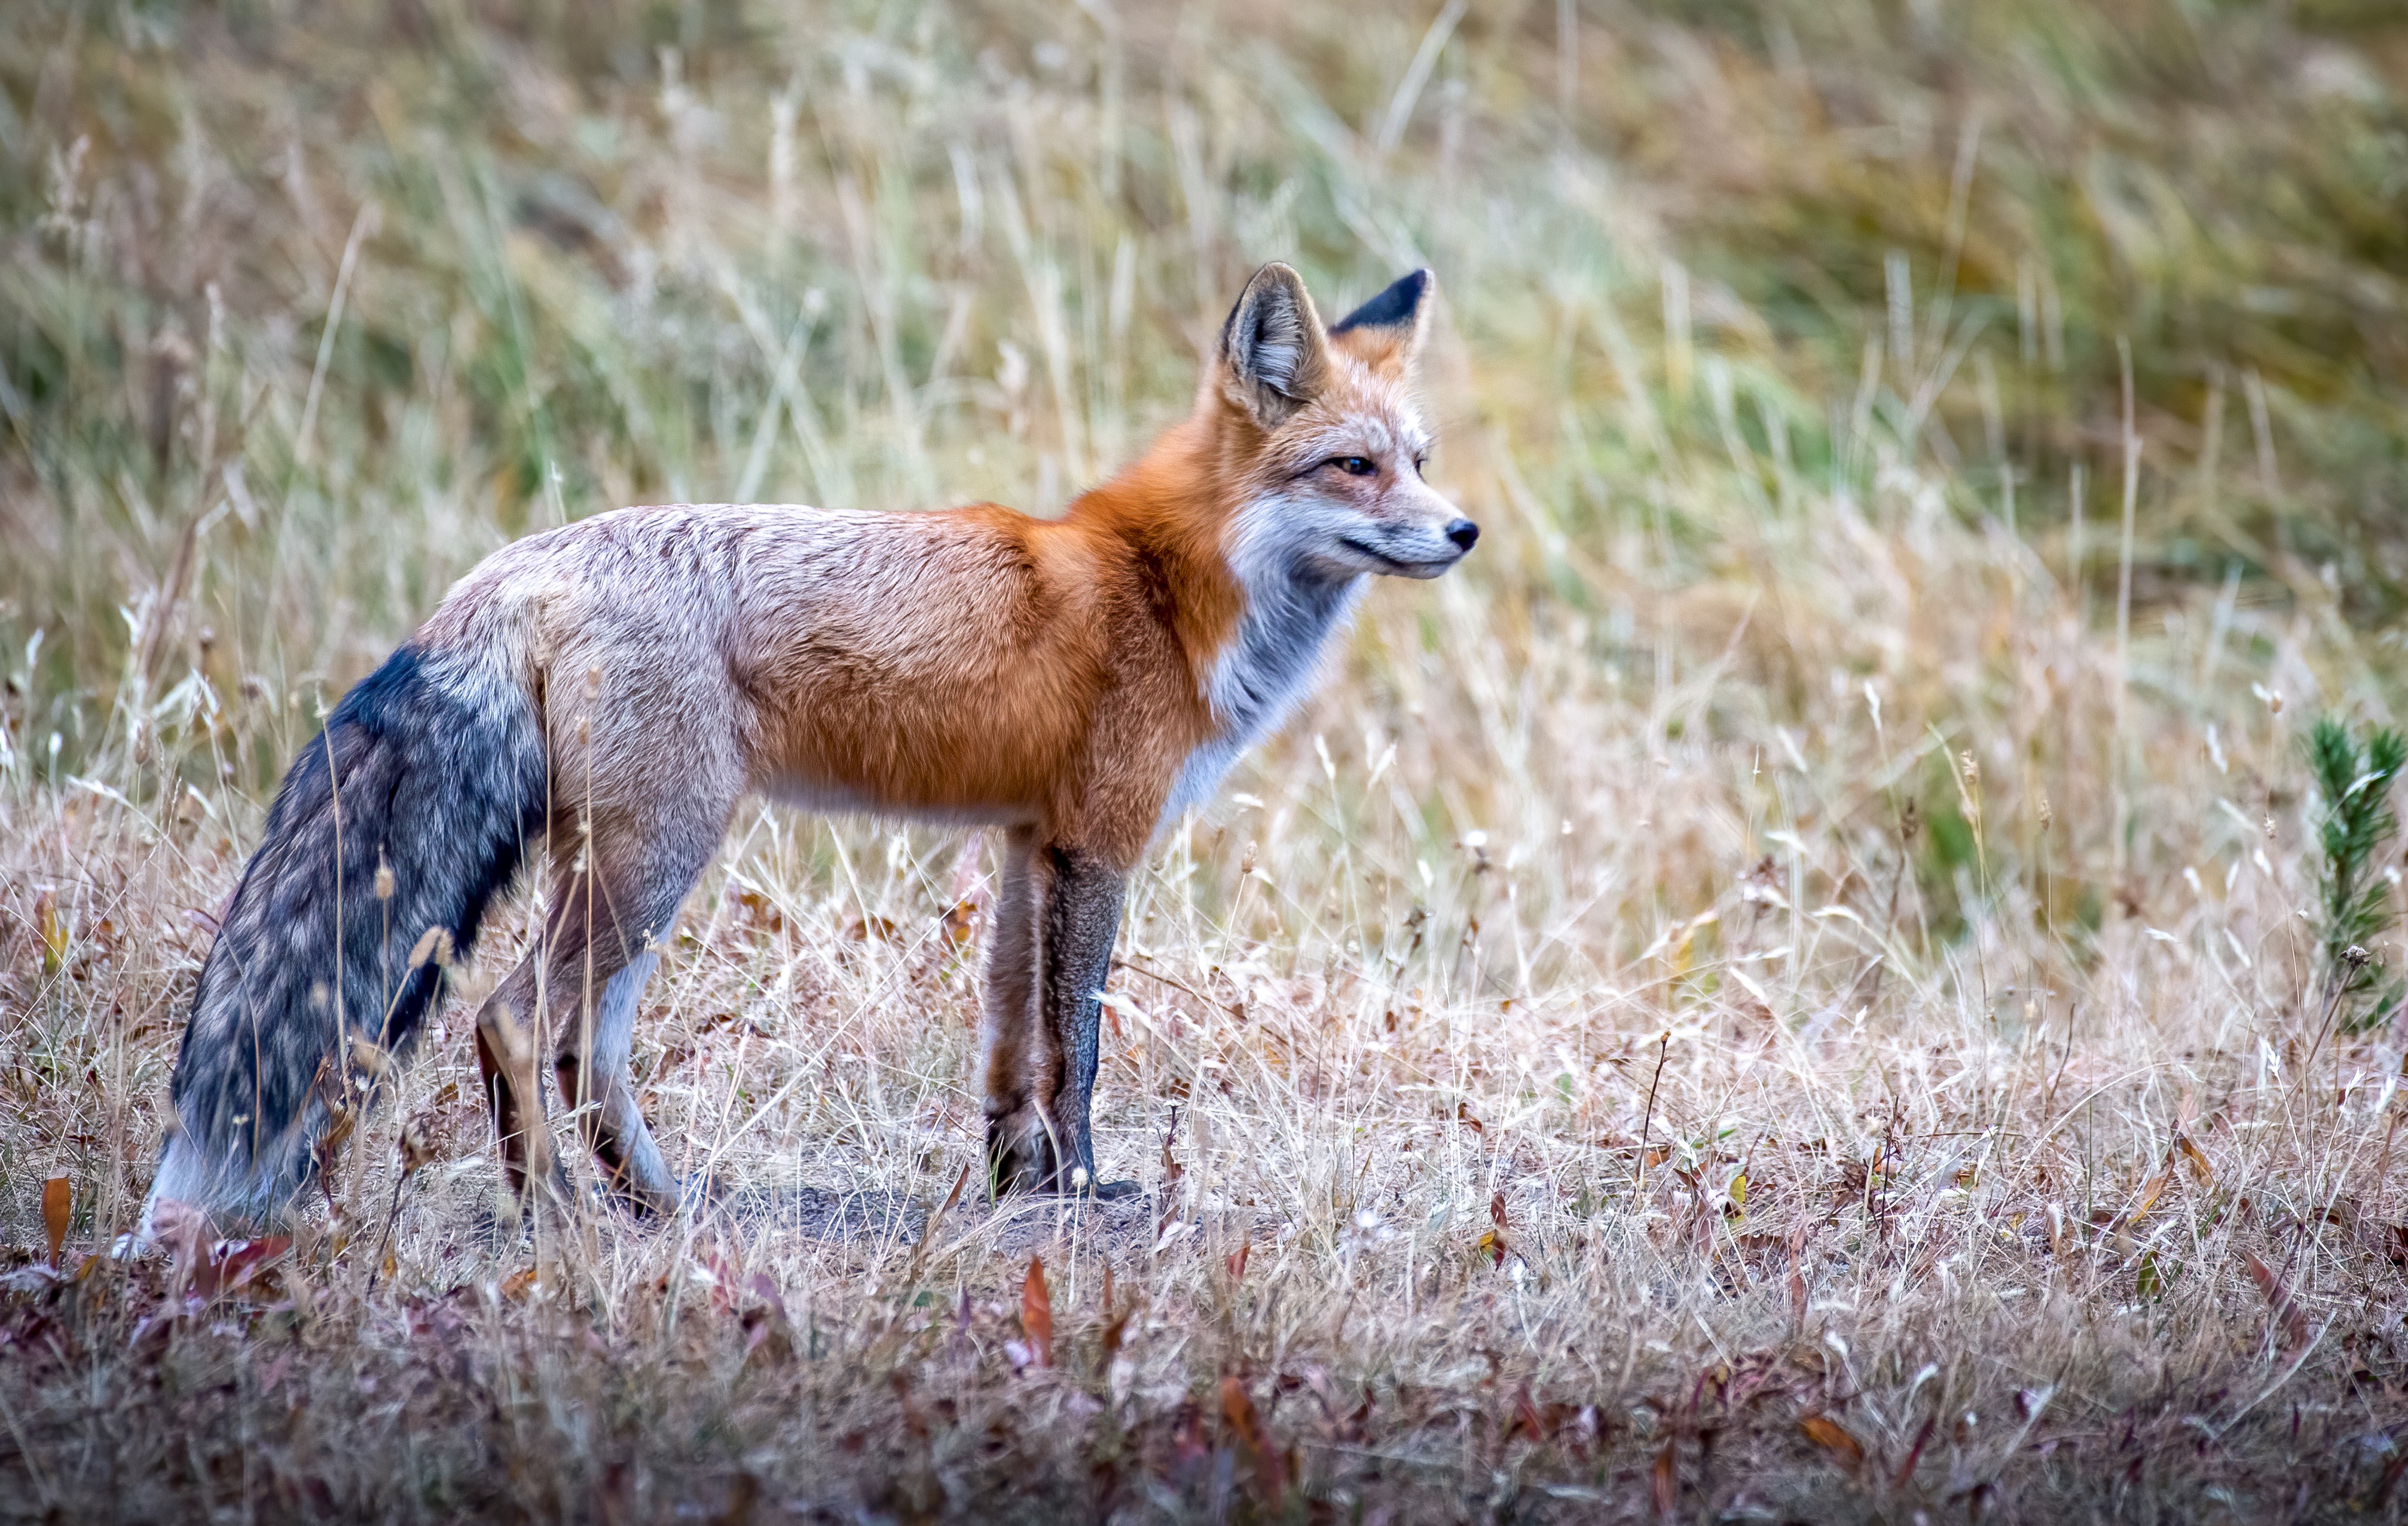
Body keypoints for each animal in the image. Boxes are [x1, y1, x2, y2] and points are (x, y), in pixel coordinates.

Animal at [146, 262, 1475, 1227]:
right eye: (1352, 467)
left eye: (1417, 460)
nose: (1461, 530)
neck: (1162, 585)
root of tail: (514, 565)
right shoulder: (1099, 843)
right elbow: (1081, 1049)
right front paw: (1084, 1189)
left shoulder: (1022, 841)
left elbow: (1010, 1047)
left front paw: (1019, 1186)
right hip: (655, 854)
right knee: (519, 1020)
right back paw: (558, 1214)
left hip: (631, 862)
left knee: (589, 1045)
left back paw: (654, 1201)